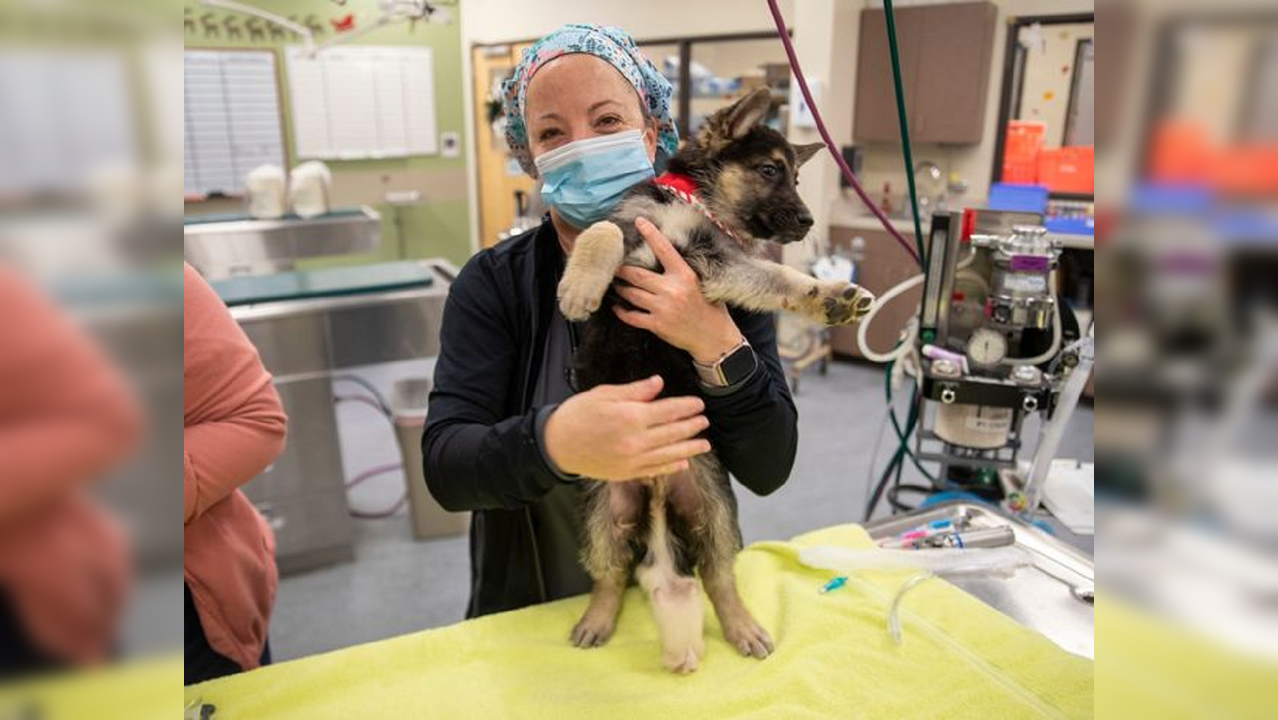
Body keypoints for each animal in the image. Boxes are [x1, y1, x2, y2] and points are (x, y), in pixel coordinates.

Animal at [562, 87, 879, 675]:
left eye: (796, 177)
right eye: (769, 170)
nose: (807, 222)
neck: (695, 207)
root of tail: (656, 486)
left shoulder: (718, 266)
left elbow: (779, 277)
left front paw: (829, 296)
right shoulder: (642, 232)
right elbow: (600, 230)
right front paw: (579, 287)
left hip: (714, 510)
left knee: (719, 578)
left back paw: (742, 626)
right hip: (600, 516)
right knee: (610, 576)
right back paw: (597, 619)